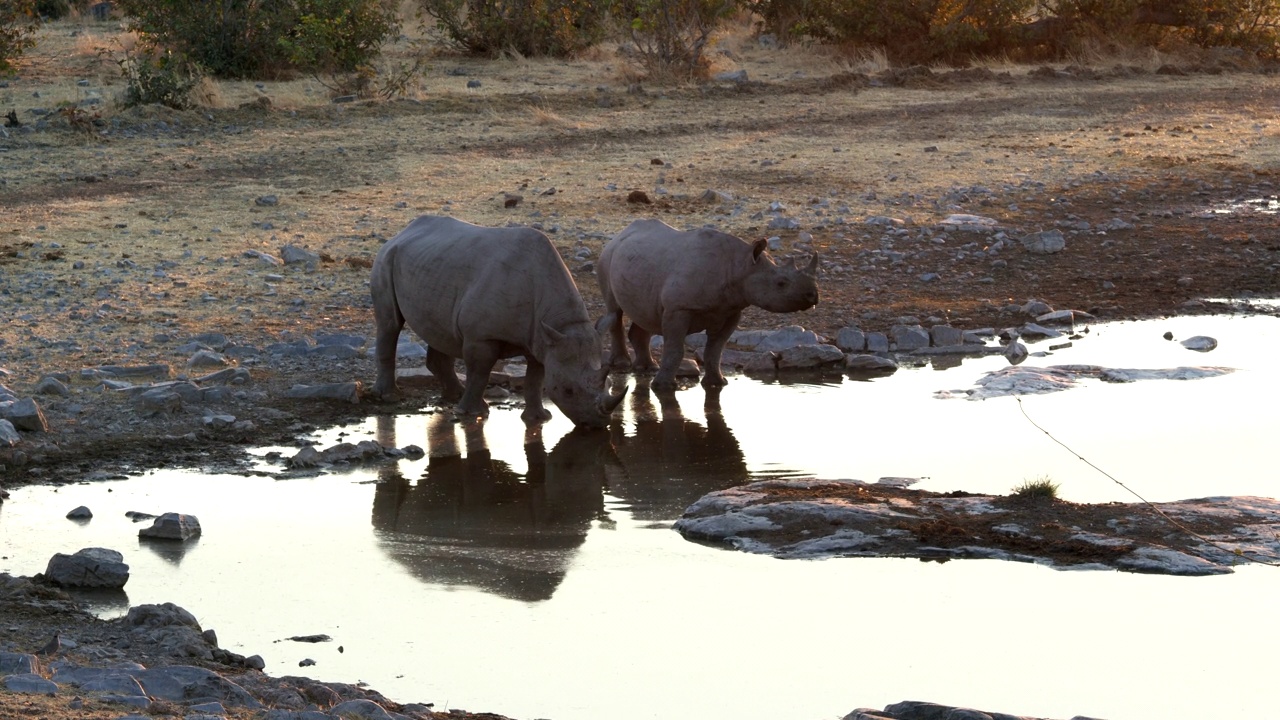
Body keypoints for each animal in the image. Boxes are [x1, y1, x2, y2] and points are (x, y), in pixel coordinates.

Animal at [368, 212, 627, 425]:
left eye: (610, 385)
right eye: (568, 391)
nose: (597, 424)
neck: (562, 323)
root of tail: (402, 232)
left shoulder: (541, 338)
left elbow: (536, 378)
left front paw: (539, 418)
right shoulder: (482, 336)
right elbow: (480, 371)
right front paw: (472, 413)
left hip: (432, 262)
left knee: (439, 329)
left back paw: (454, 395)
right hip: (385, 258)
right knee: (390, 324)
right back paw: (390, 397)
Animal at [596, 215, 819, 389]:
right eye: (781, 283)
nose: (813, 296)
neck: (740, 265)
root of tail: (620, 234)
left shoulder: (730, 310)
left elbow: (716, 349)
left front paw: (717, 383)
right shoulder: (679, 308)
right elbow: (675, 349)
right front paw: (663, 386)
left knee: (645, 313)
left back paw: (647, 368)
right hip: (607, 256)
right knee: (614, 311)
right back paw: (623, 364)